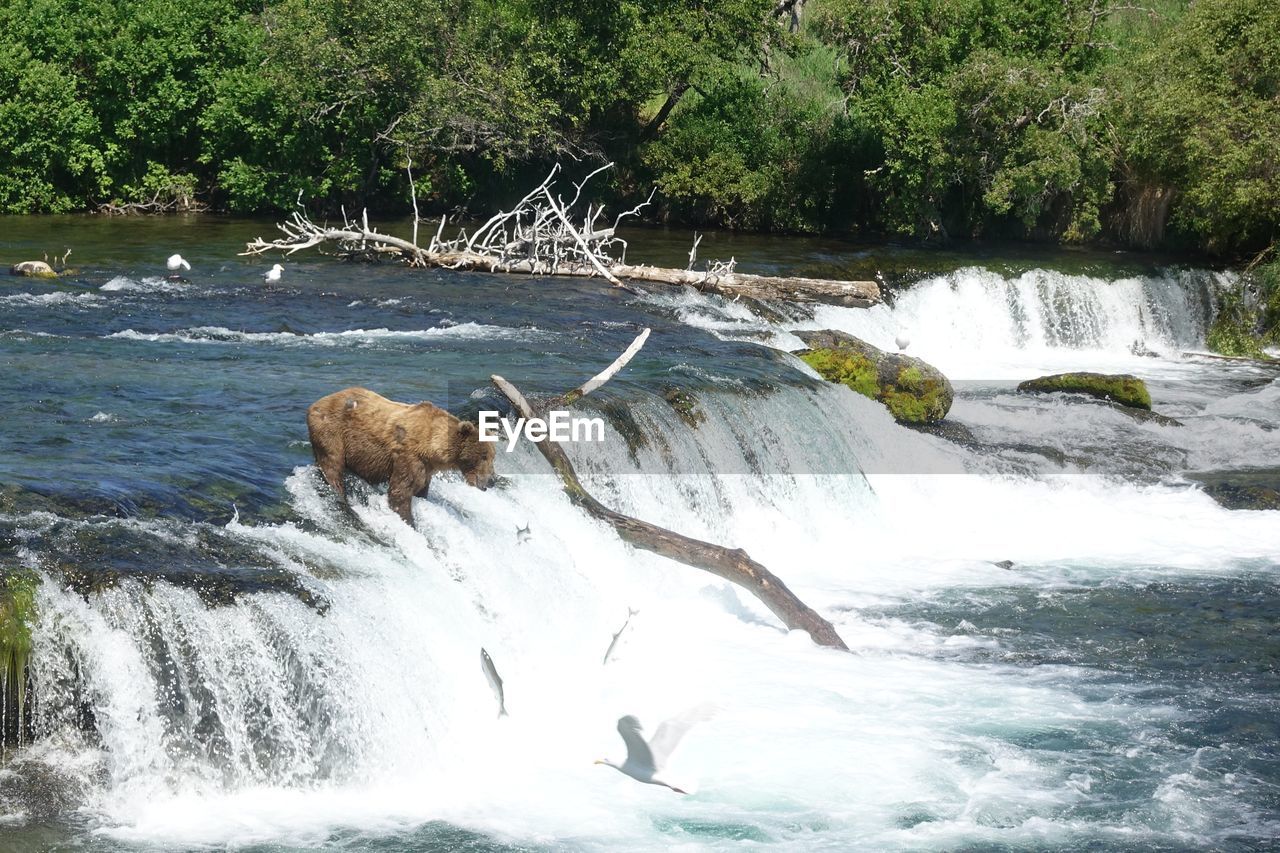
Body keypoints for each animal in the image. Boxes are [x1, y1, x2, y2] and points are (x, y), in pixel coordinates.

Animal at [304, 384, 494, 525]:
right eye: (484, 456)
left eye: (493, 457)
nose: (491, 481)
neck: (432, 449)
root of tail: (315, 404)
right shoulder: (409, 457)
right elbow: (400, 493)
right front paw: (409, 521)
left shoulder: (427, 469)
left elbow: (420, 490)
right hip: (331, 430)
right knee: (332, 464)